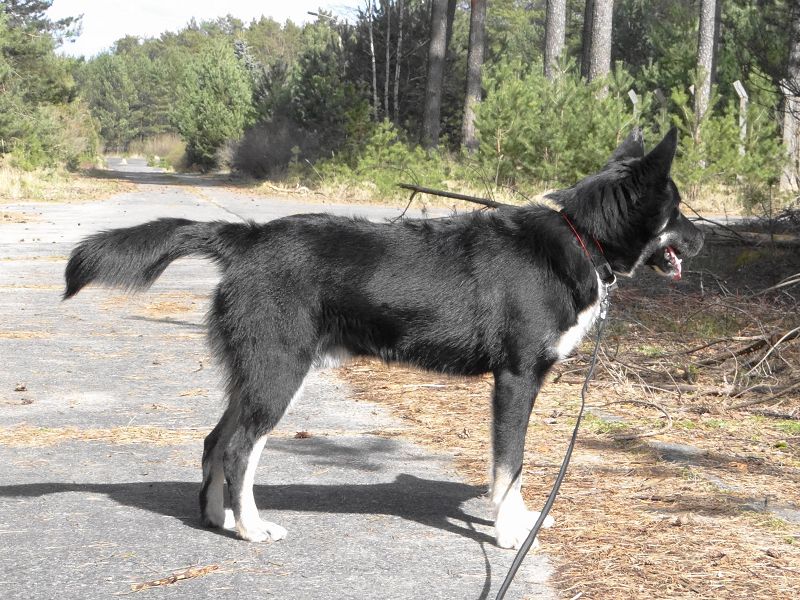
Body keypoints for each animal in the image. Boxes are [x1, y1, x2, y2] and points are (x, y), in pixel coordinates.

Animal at [64, 127, 703, 550]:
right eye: (679, 208)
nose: (702, 239)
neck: (578, 237)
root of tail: (247, 237)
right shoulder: (515, 381)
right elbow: (509, 466)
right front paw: (509, 533)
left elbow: (511, 472)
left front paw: (516, 520)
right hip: (278, 376)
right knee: (241, 449)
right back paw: (250, 528)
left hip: (254, 377)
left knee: (215, 443)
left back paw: (218, 518)